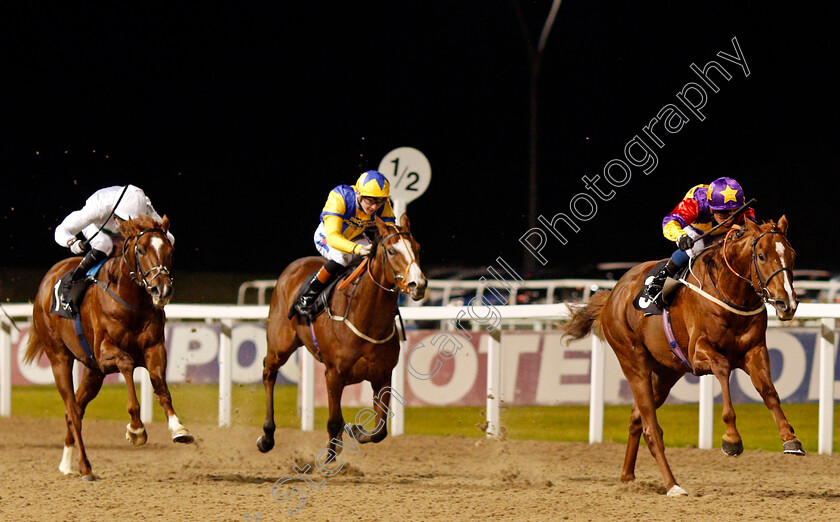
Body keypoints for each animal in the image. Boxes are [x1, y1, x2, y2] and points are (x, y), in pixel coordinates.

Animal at [23, 213, 195, 478]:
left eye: (170, 250)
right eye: (141, 250)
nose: (162, 289)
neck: (130, 302)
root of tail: (48, 278)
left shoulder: (154, 348)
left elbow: (160, 385)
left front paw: (178, 428)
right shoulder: (105, 355)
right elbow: (126, 363)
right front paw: (136, 429)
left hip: (92, 371)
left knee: (77, 407)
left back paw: (67, 463)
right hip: (59, 357)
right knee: (72, 409)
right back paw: (85, 465)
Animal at [256, 211, 426, 456]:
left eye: (418, 248)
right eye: (392, 251)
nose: (418, 284)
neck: (366, 320)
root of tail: (294, 266)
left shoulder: (382, 375)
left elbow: (380, 429)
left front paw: (356, 430)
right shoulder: (334, 375)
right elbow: (334, 421)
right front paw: (329, 453)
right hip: (280, 345)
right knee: (269, 372)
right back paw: (267, 436)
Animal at [564, 215, 800, 496]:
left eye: (792, 254)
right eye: (762, 256)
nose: (787, 303)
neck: (730, 292)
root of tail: (612, 295)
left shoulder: (754, 350)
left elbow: (769, 391)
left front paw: (790, 438)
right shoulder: (699, 355)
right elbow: (722, 368)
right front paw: (731, 438)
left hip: (665, 374)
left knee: (637, 418)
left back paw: (628, 476)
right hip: (633, 361)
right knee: (651, 428)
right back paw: (673, 485)